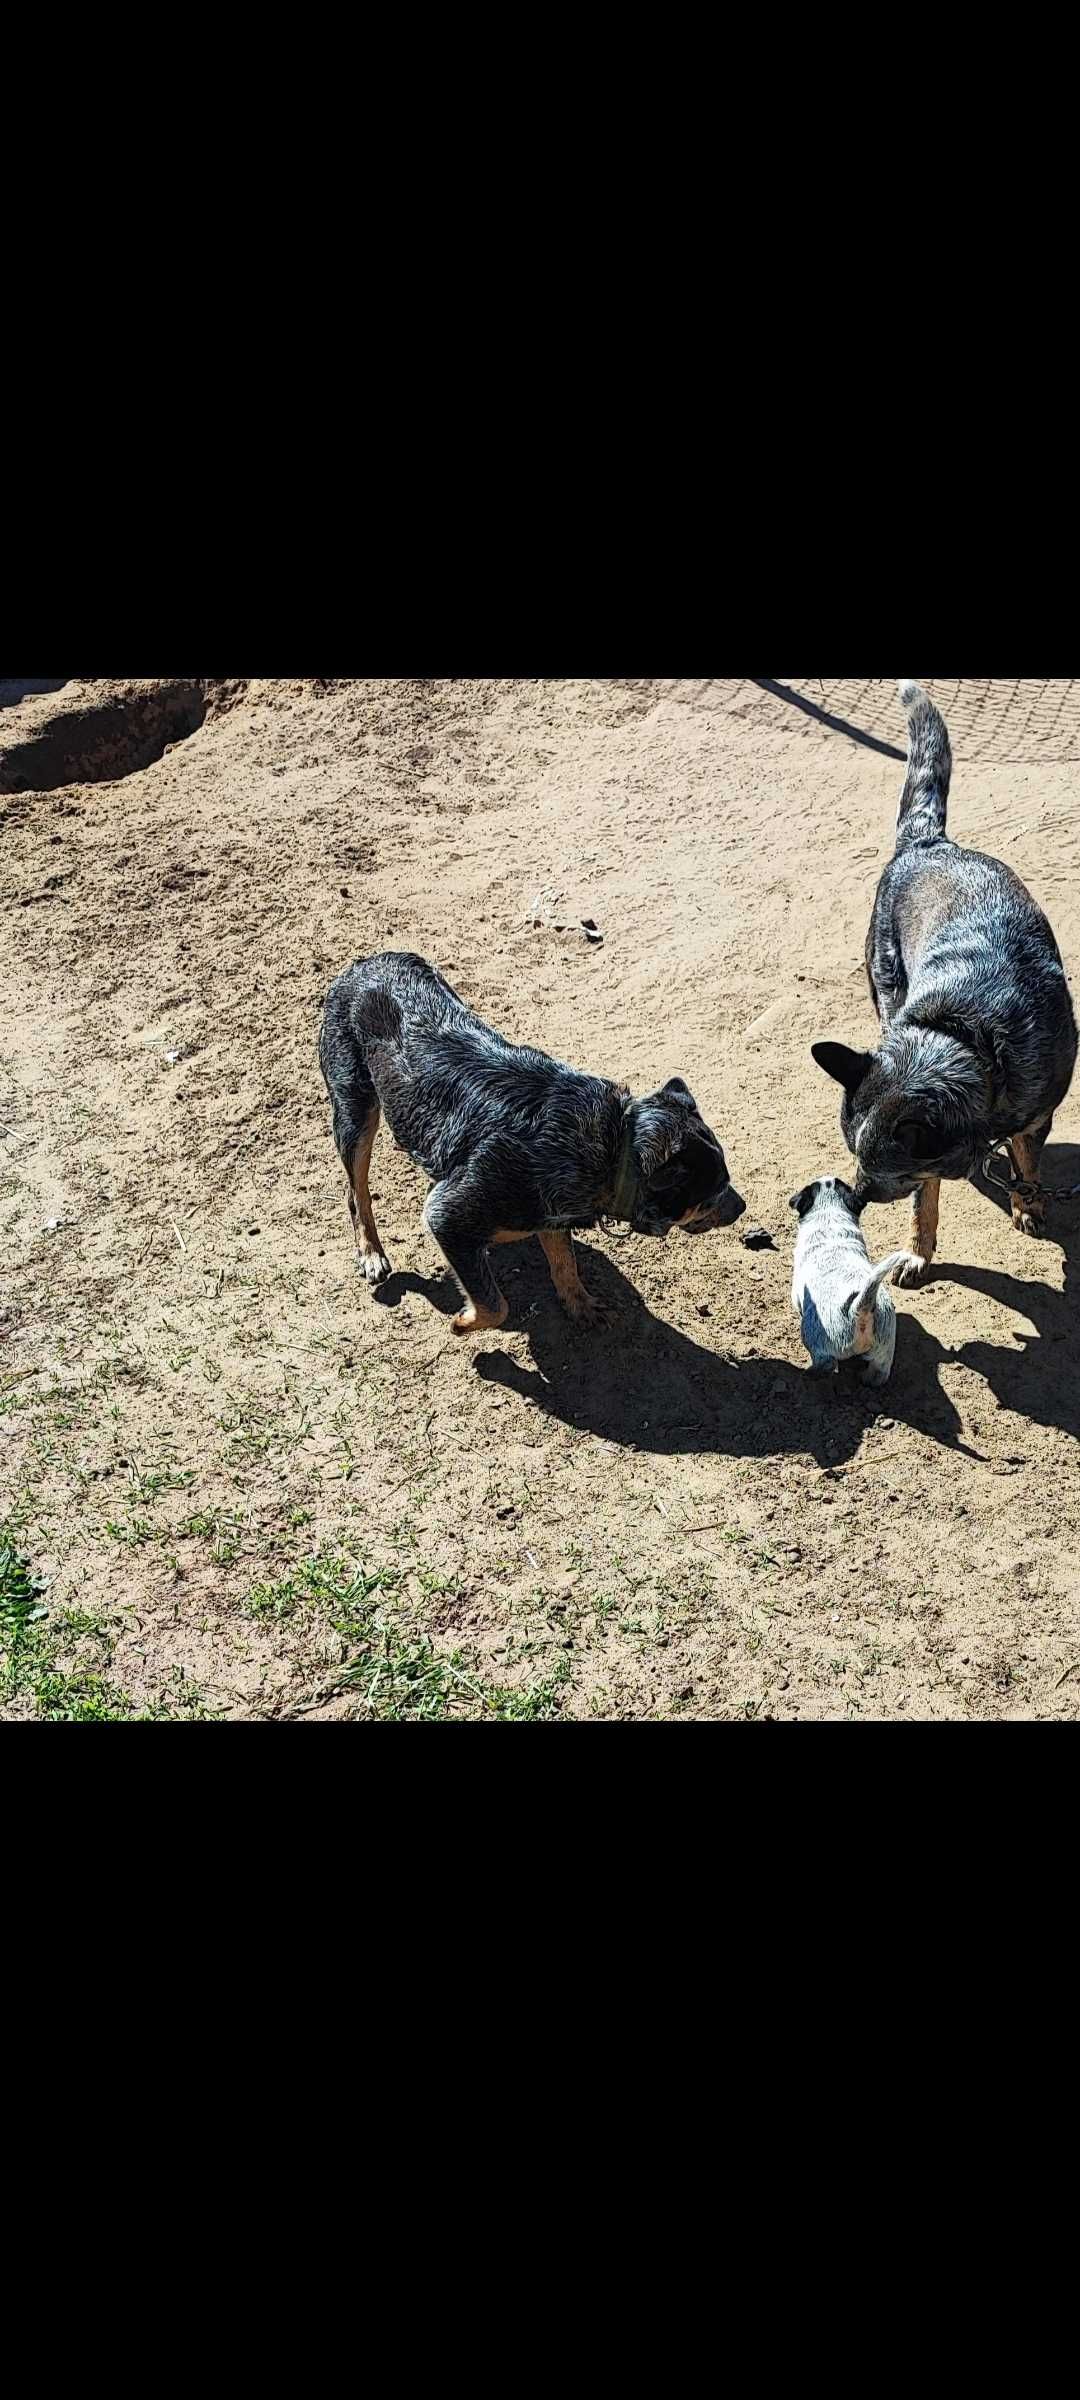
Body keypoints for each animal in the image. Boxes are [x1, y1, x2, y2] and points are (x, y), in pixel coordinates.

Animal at [316, 950, 748, 1334]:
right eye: (713, 1193)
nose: (743, 1207)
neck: (616, 1146)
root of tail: (365, 963)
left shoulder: (552, 1210)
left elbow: (564, 1262)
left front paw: (581, 1307)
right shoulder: (448, 1215)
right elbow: (495, 1305)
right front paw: (462, 1322)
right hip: (354, 1108)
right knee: (356, 1191)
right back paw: (372, 1254)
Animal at [787, 1180, 916, 1392]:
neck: (829, 1218)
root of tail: (859, 1308)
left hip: (812, 1334)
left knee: (827, 1363)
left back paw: (809, 1373)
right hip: (885, 1348)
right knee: (879, 1373)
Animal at [816, 676, 1075, 1286]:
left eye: (883, 1171)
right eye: (853, 1151)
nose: (853, 1194)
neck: (968, 1037)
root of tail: (929, 843)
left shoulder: (1037, 1115)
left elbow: (1026, 1157)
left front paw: (1028, 1202)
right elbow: (928, 1201)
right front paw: (918, 1250)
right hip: (885, 983)